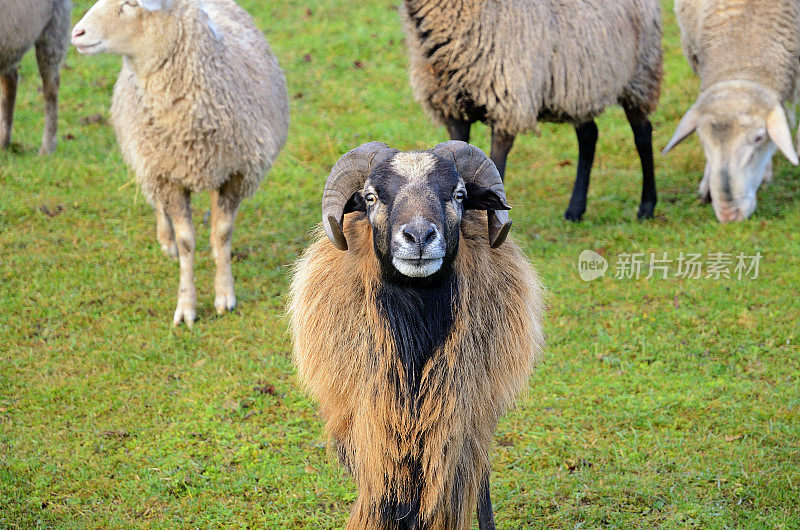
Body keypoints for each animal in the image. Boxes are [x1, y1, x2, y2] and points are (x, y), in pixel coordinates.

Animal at [0, 0, 71, 155]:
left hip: (53, 28)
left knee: (51, 88)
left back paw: (47, 148)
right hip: (10, 43)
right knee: (11, 81)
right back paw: (3, 141)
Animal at [71, 0, 290, 326]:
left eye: (131, 4)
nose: (76, 33)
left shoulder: (235, 174)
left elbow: (223, 233)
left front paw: (224, 295)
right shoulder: (165, 176)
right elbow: (187, 241)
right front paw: (186, 306)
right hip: (148, 162)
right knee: (157, 205)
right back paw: (166, 240)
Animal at [398, 0, 664, 221]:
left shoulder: (507, 103)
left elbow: (497, 165)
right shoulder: (452, 106)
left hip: (640, 74)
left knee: (642, 134)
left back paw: (647, 207)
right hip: (578, 87)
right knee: (589, 136)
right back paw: (575, 210)